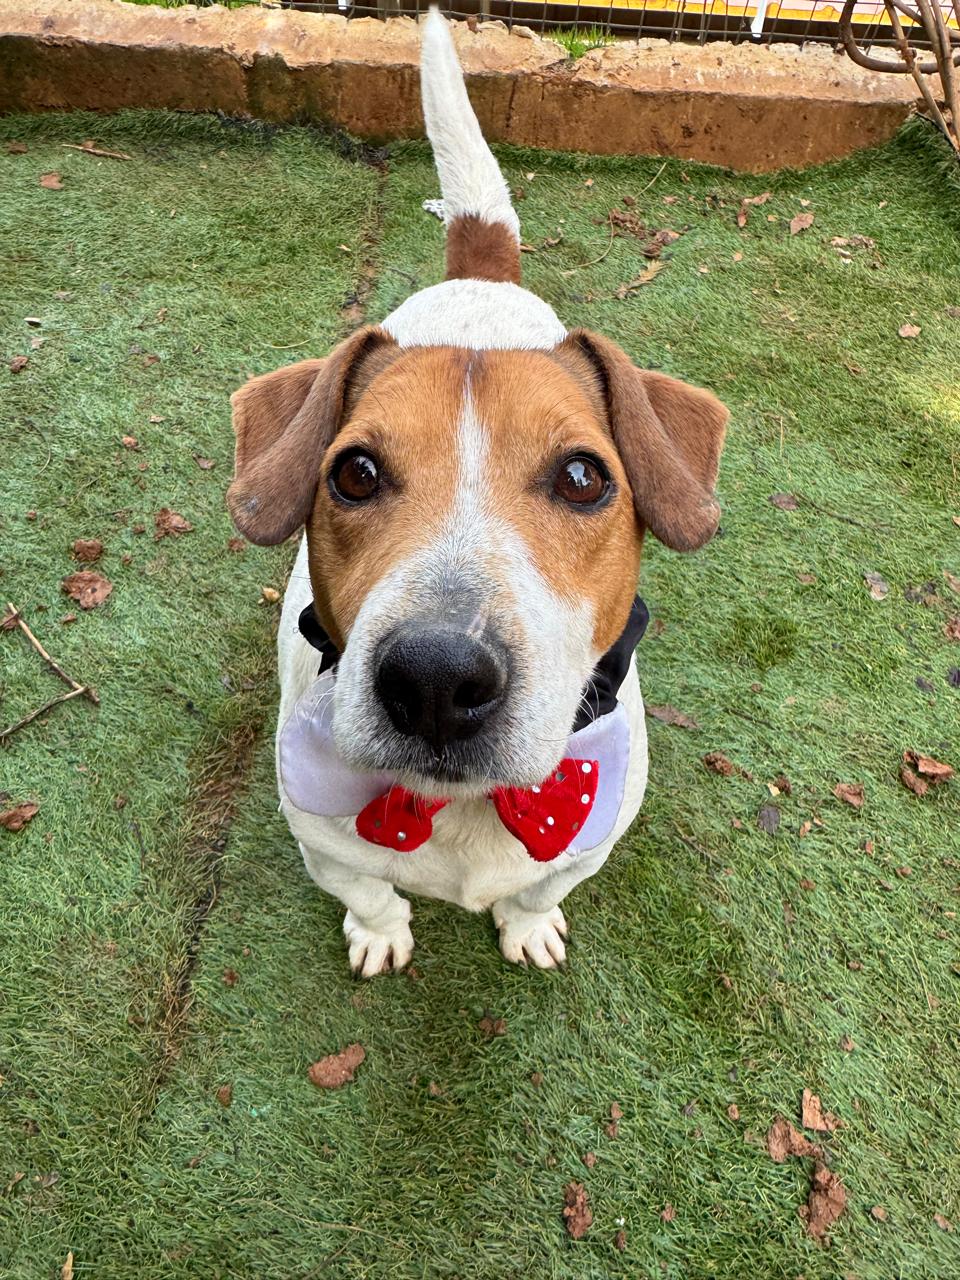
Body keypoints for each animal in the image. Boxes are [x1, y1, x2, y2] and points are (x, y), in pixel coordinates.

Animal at [226, 9, 728, 976]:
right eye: (353, 473)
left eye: (583, 477)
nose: (435, 677)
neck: (459, 807)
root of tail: (482, 279)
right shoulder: (320, 840)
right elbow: (370, 890)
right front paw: (380, 933)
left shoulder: (592, 836)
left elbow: (540, 886)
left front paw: (528, 925)